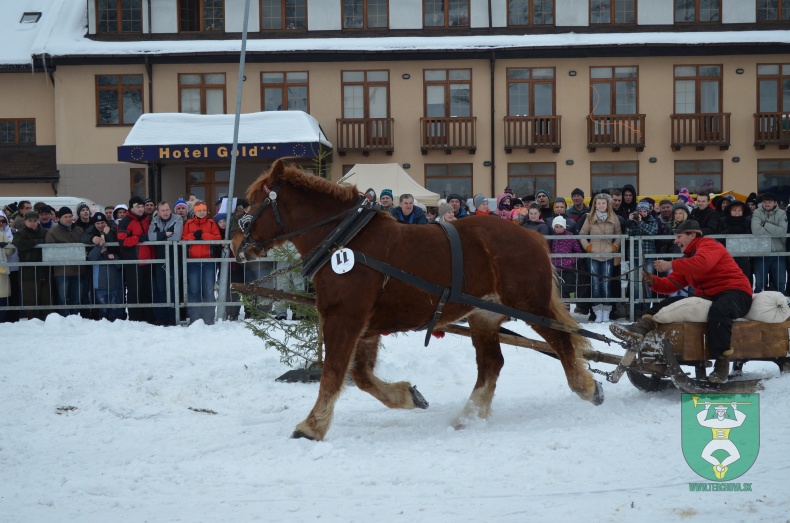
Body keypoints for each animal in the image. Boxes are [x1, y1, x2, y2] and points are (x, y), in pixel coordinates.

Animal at [232, 161, 604, 442]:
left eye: (253, 201)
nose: (236, 243)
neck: (345, 240)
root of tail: (533, 236)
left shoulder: (344, 317)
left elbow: (334, 373)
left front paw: (312, 426)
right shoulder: (365, 325)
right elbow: (362, 377)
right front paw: (409, 395)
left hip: (530, 305)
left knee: (562, 342)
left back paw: (587, 387)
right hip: (483, 315)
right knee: (492, 364)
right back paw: (469, 415)